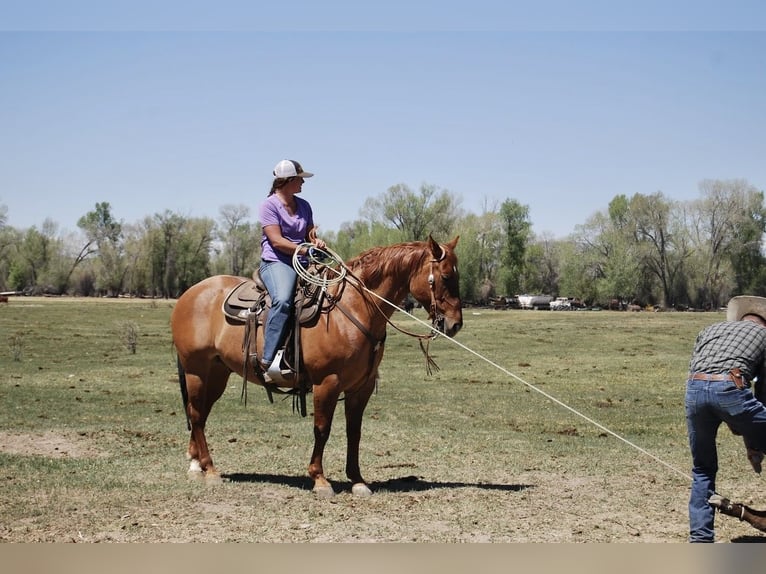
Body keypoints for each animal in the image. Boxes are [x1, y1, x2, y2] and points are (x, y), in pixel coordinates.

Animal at [170, 236, 463, 497]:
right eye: (446, 276)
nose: (455, 324)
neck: (354, 307)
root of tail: (190, 293)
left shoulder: (362, 387)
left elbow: (354, 432)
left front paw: (357, 480)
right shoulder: (327, 382)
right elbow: (322, 429)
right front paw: (319, 479)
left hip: (217, 373)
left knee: (200, 413)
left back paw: (196, 463)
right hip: (196, 370)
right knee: (196, 414)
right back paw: (210, 470)